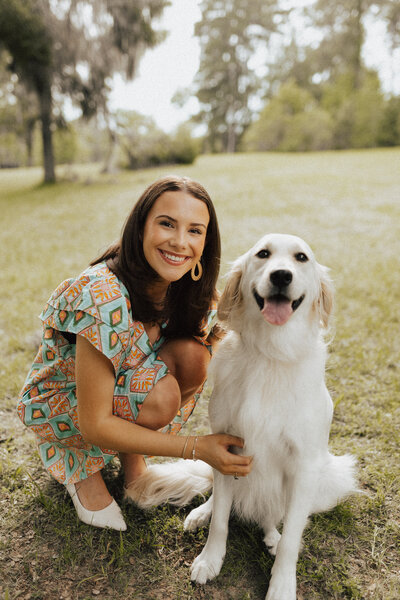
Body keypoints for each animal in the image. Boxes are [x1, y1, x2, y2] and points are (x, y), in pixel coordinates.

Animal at [126, 236, 358, 600]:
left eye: (301, 258)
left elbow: (292, 536)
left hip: (328, 475)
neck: (271, 352)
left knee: (276, 516)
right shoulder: (226, 447)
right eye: (263, 254)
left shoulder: (305, 465)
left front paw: (282, 584)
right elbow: (221, 518)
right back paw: (202, 513)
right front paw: (210, 559)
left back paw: (272, 536)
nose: (281, 275)